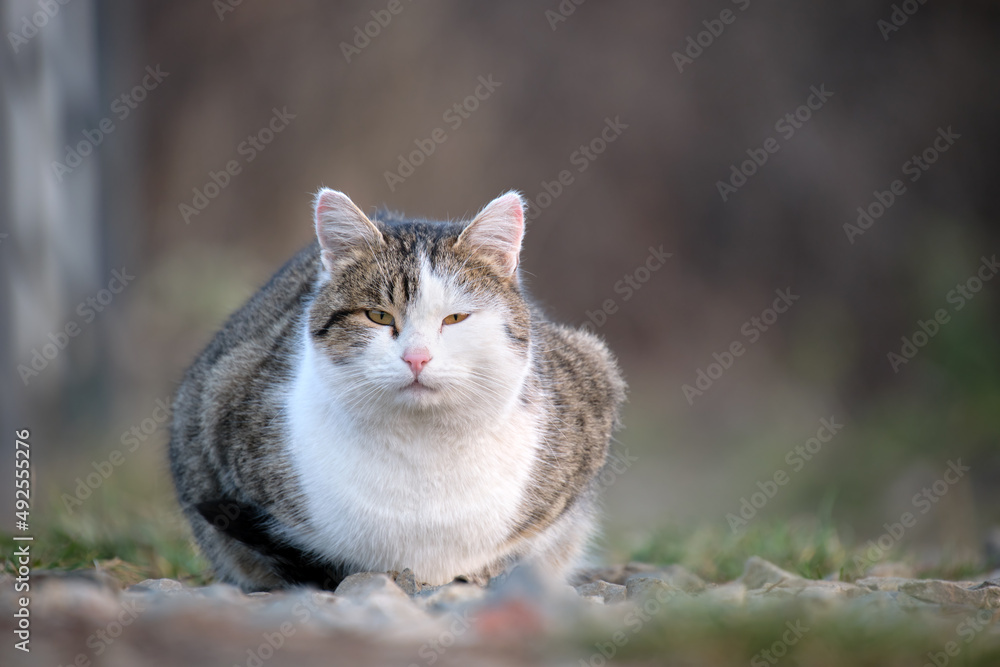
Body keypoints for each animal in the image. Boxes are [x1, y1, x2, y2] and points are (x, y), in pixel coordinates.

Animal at [170, 188, 624, 588]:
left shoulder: (595, 373)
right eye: (378, 316)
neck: (423, 450)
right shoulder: (218, 395)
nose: (417, 357)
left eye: (455, 318)